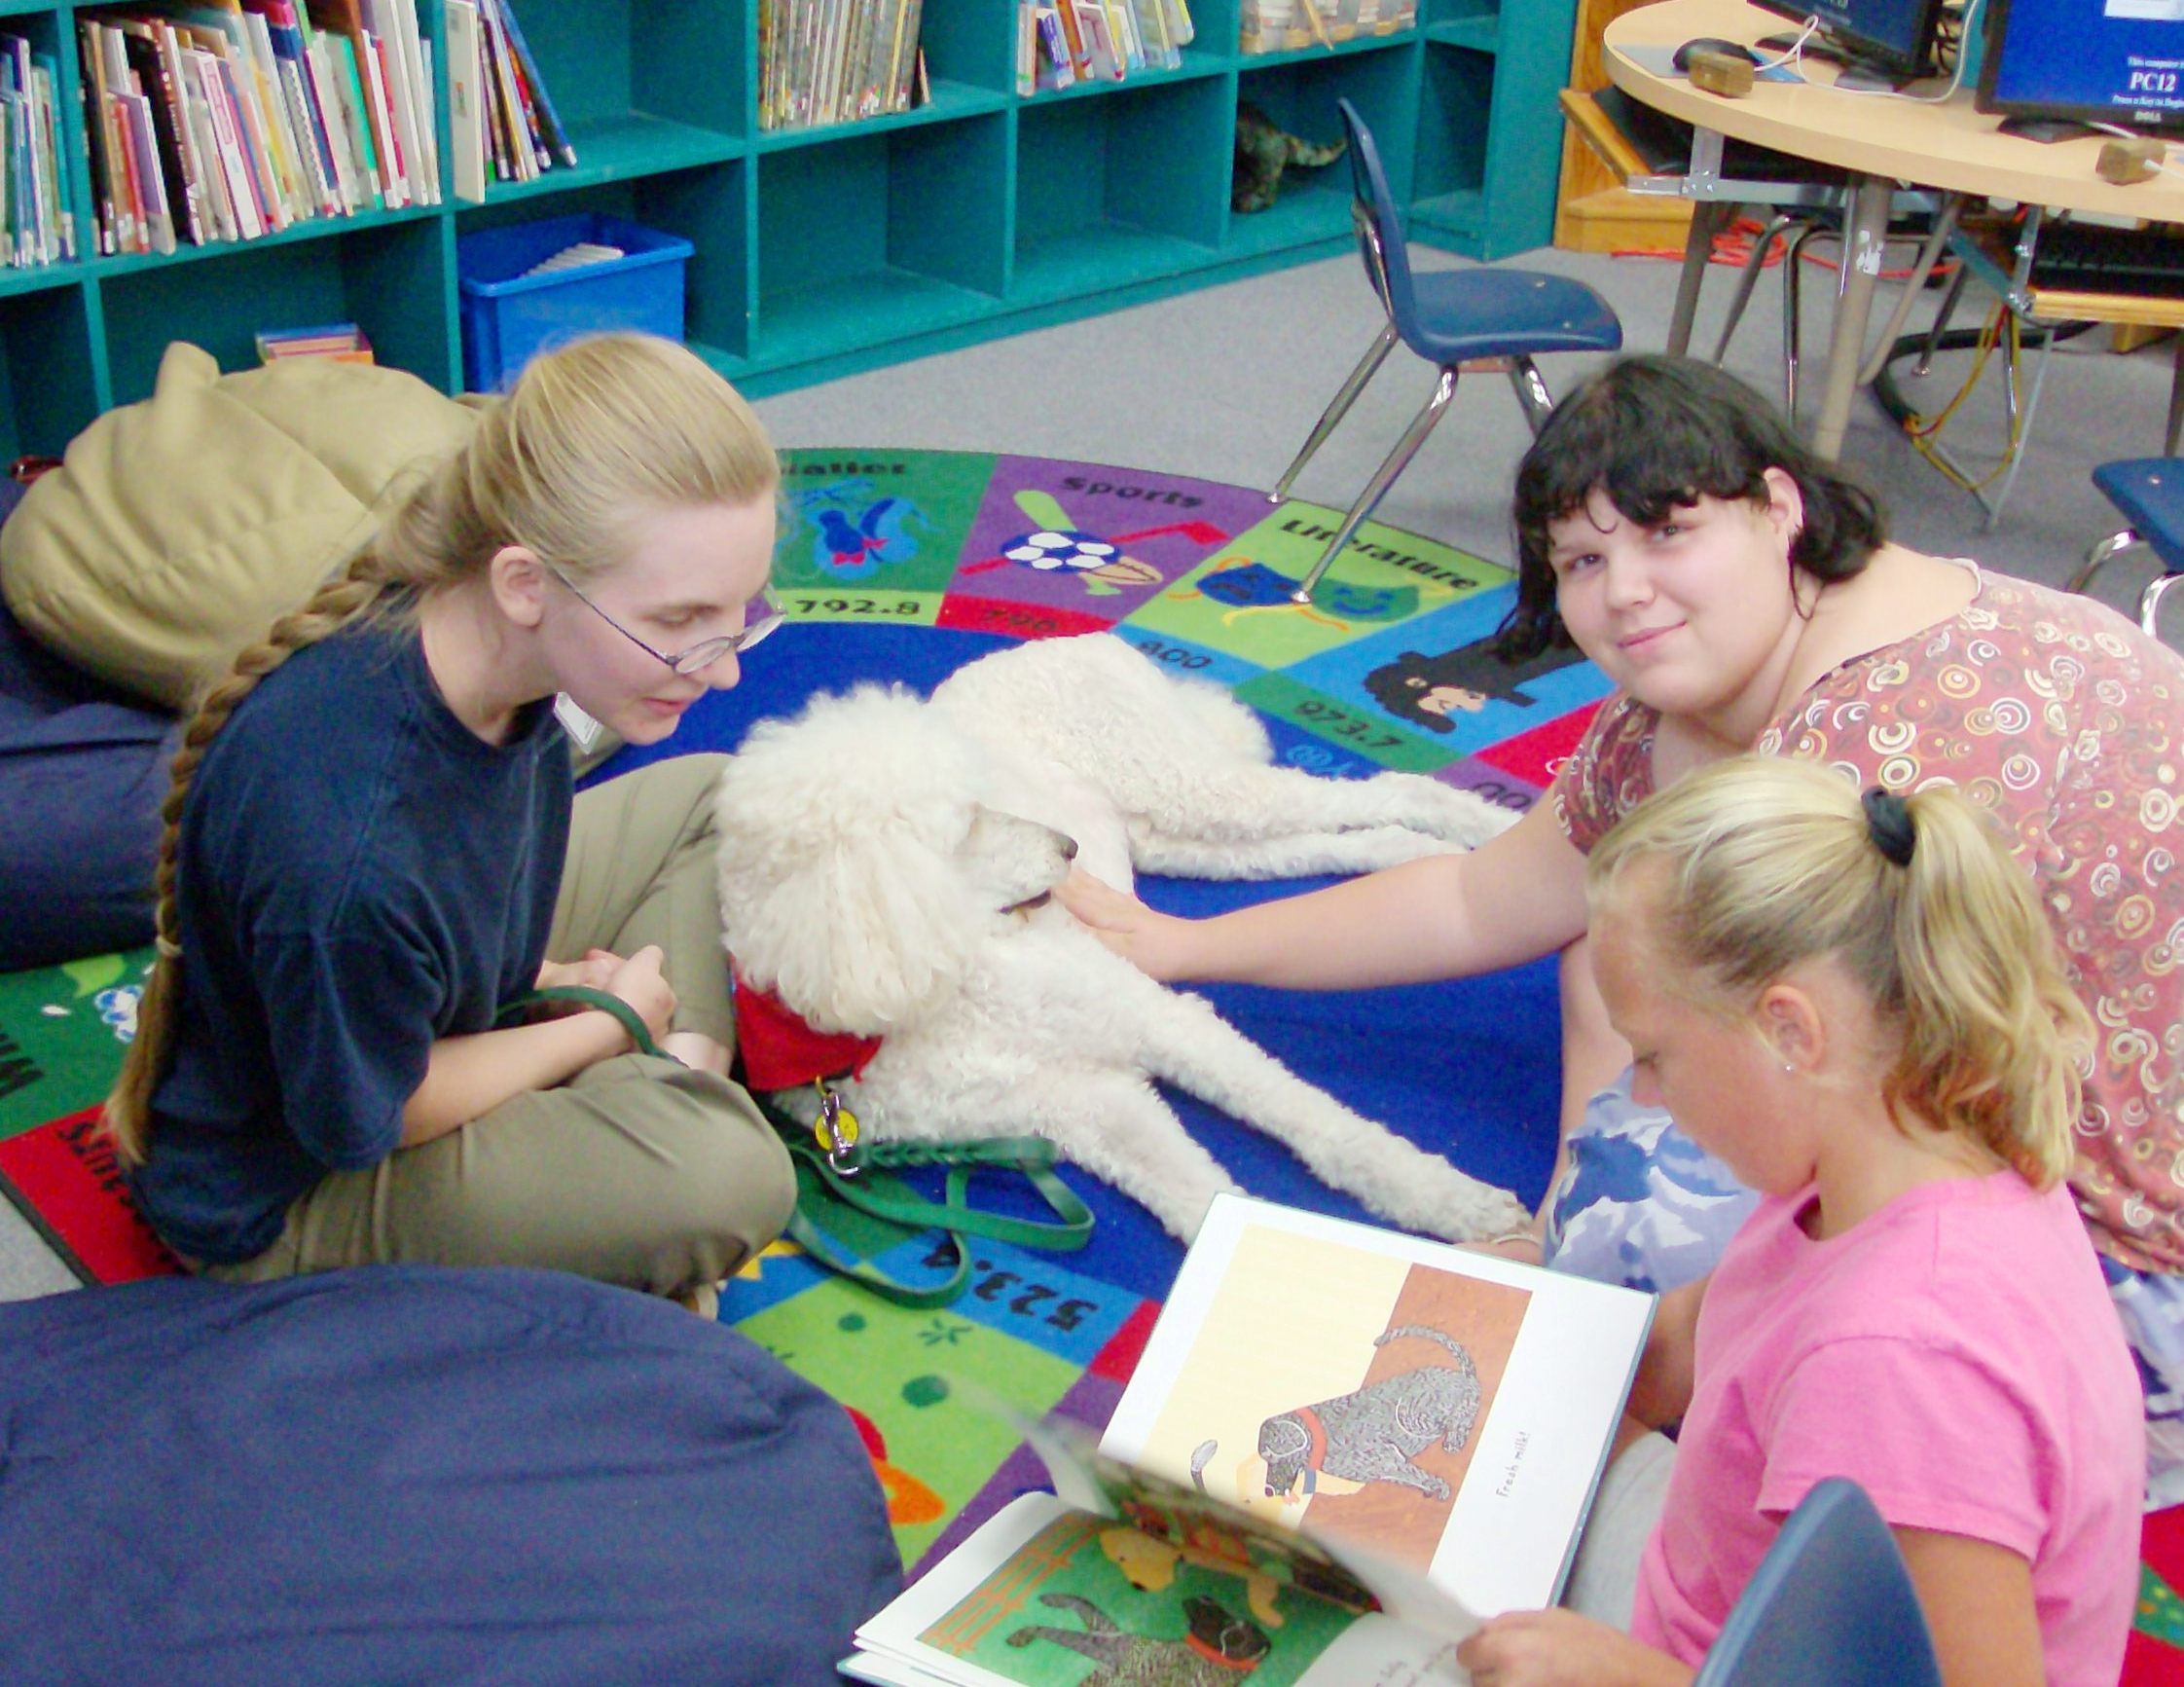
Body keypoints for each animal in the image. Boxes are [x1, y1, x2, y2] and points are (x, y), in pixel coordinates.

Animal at [708, 633, 1528, 1241]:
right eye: (968, 822)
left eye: (980, 794)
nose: (1067, 847)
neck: (947, 1002)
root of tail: (1068, 638)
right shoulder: (1076, 1106)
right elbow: (1196, 1196)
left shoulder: (1157, 1019)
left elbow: (1318, 1122)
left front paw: (1445, 1199)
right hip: (1178, 838)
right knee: (1330, 841)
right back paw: (1417, 857)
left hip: (1190, 784)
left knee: (1391, 788)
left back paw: (1490, 828)